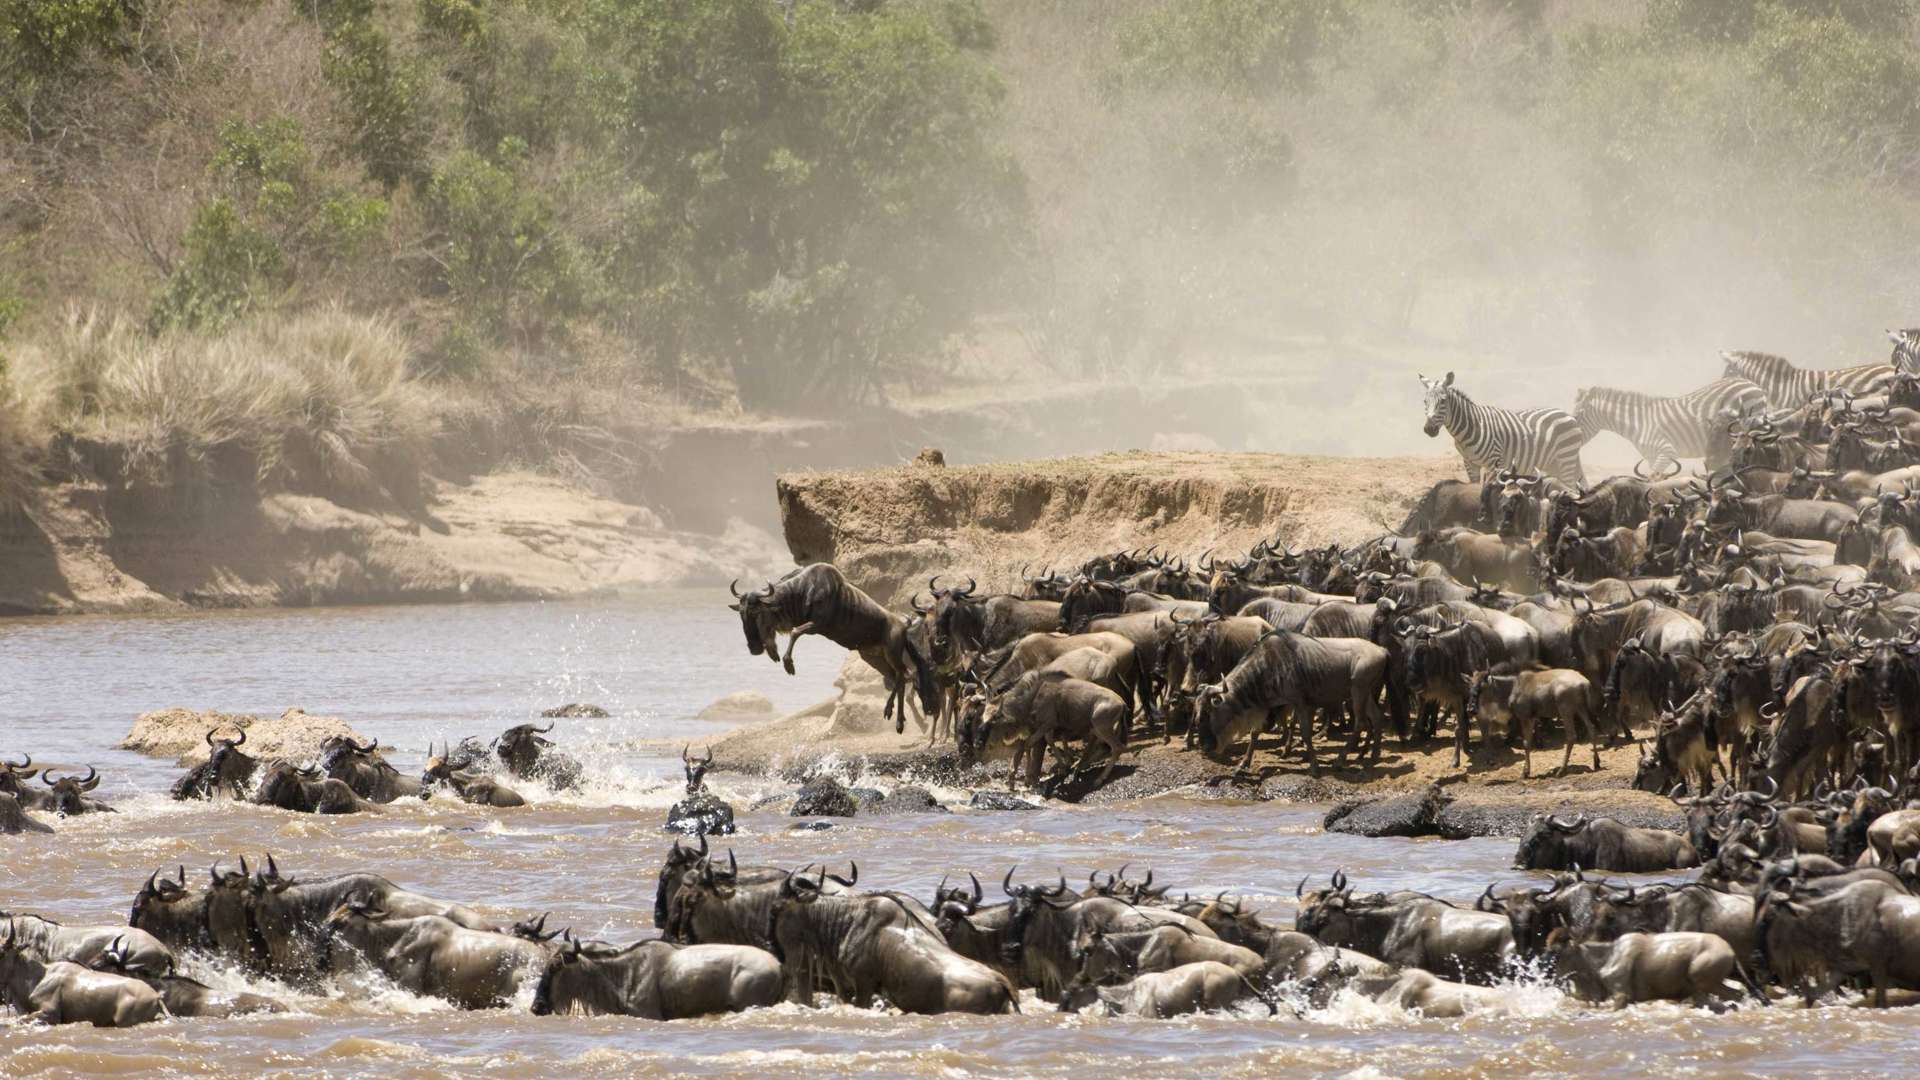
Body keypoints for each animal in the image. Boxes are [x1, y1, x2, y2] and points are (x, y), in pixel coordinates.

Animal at [1420, 372, 1582, 486]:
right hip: (1553, 463)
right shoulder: (1470, 463)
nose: (1429, 429)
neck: (1472, 427)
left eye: (1443, 401)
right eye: (1425, 401)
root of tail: (1568, 415)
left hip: (1566, 459)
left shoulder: (1495, 464)